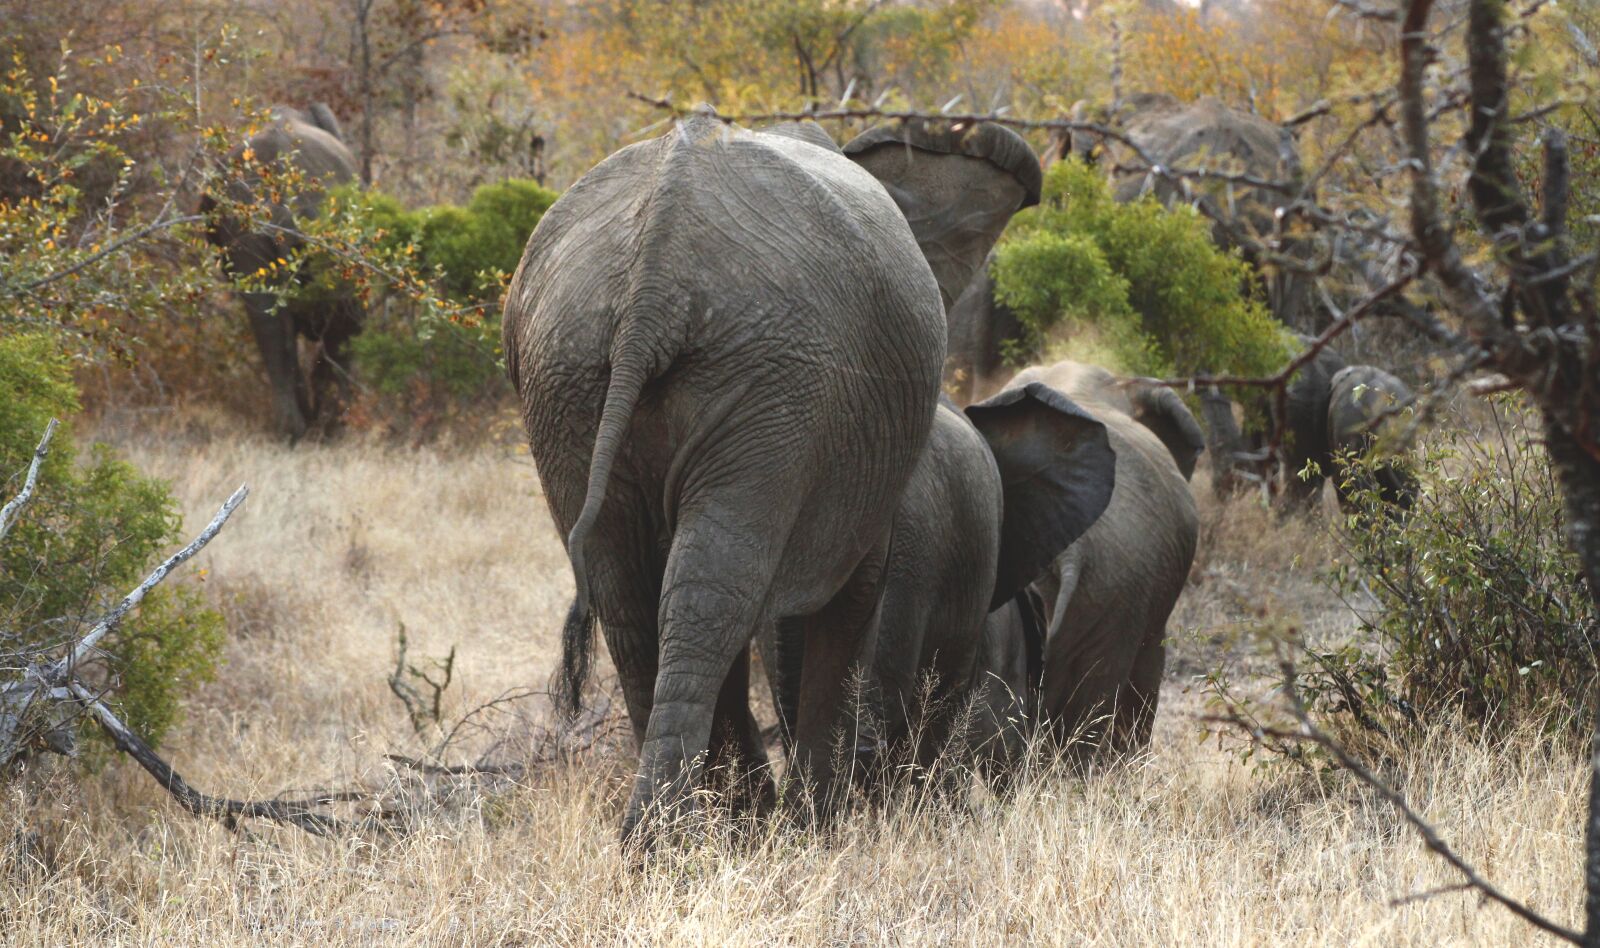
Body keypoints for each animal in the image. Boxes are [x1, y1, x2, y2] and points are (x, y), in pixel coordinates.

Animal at [501, 108, 1042, 843]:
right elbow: (852, 587)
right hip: (762, 377)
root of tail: (654, 278)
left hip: (580, 371)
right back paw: (690, 831)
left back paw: (666, 834)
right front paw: (813, 824)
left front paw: (768, 817)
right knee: (708, 591)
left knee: (642, 596)